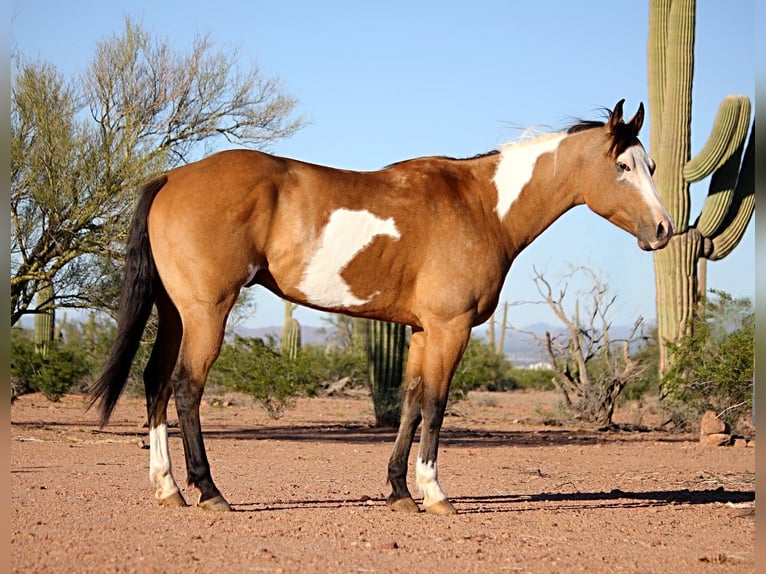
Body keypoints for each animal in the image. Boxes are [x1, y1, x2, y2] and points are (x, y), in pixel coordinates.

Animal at [89, 99, 673, 514]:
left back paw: (169, 489)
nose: (665, 229)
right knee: (186, 387)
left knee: (155, 382)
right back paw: (209, 491)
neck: (483, 206)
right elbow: (436, 405)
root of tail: (173, 176)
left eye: (651, 164)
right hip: (207, 311)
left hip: (174, 312)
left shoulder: (421, 331)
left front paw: (398, 491)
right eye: (623, 166)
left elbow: (410, 402)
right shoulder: (450, 328)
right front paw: (434, 494)